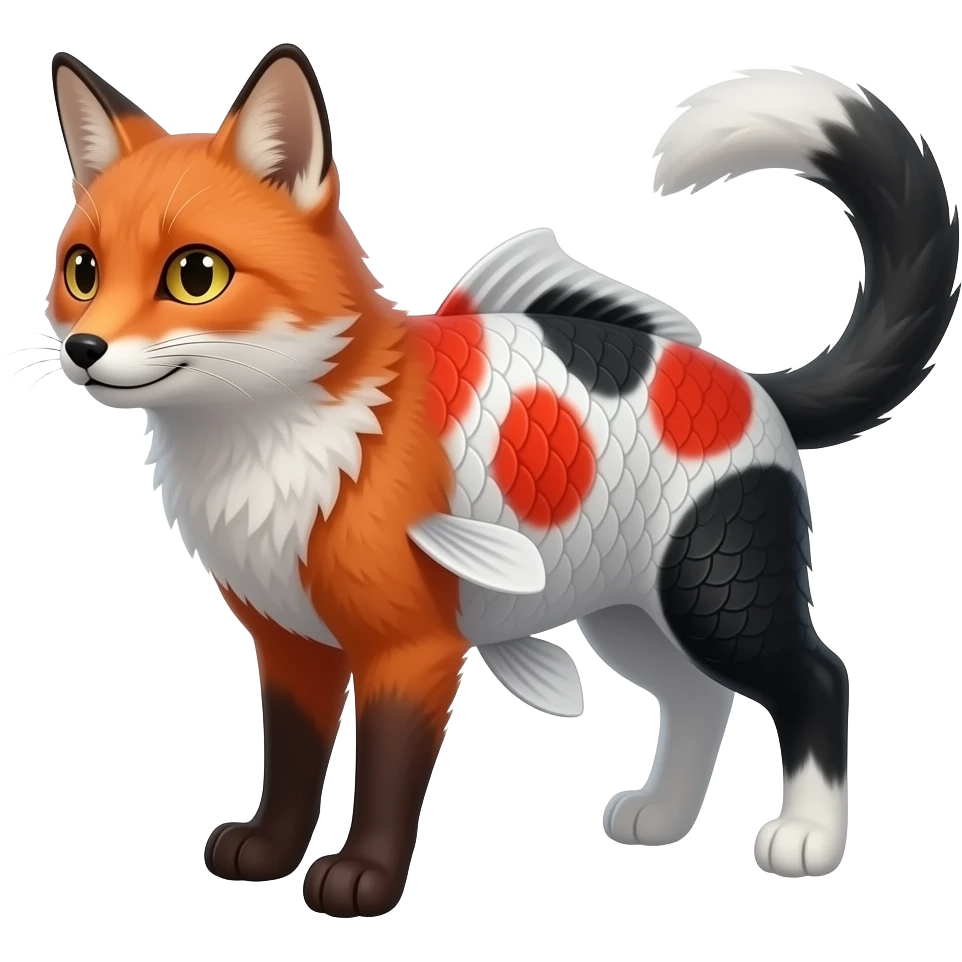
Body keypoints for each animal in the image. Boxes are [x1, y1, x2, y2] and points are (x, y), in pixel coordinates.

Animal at [42, 46, 957, 915]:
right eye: (82, 272)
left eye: (195, 275)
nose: (83, 348)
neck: (280, 434)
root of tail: (751, 382)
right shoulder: (291, 644)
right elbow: (293, 757)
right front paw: (268, 853)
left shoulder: (411, 649)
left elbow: (387, 770)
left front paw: (363, 880)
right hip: (631, 614)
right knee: (700, 698)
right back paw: (662, 818)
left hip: (716, 594)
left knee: (816, 677)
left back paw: (808, 840)